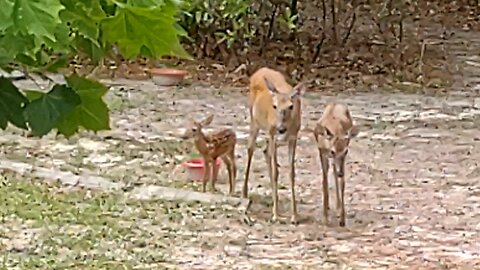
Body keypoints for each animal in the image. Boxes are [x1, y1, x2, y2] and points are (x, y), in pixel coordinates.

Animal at [242, 67, 306, 224]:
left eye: (291, 106)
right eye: (274, 106)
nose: (281, 128)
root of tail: (259, 70)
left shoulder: (293, 138)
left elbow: (291, 173)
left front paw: (294, 216)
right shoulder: (272, 135)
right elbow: (276, 172)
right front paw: (275, 215)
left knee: (265, 151)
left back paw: (274, 198)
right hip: (254, 120)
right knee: (251, 148)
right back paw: (244, 192)